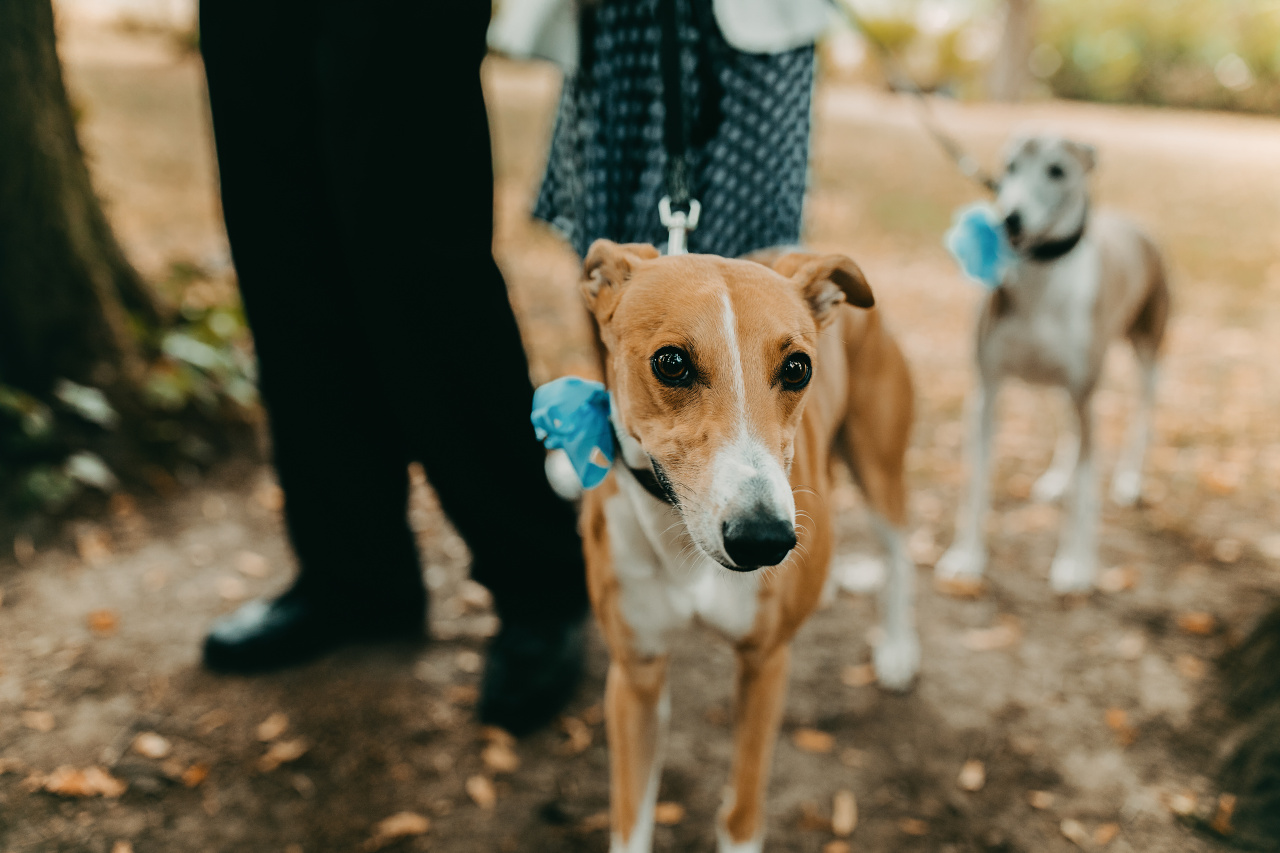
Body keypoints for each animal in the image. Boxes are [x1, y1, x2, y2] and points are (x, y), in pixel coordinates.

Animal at [581, 239, 921, 850]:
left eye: (797, 367)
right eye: (671, 362)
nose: (765, 540)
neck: (687, 553)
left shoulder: (766, 665)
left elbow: (741, 809)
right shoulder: (636, 674)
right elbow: (631, 818)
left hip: (879, 463)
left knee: (899, 554)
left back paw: (899, 649)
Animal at [931, 134, 1172, 591]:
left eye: (1057, 170)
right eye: (1010, 166)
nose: (1010, 219)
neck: (1042, 282)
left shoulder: (1087, 395)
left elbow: (1085, 493)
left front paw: (1076, 565)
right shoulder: (987, 392)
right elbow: (976, 484)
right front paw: (966, 556)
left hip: (1146, 356)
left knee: (1141, 417)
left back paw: (1128, 481)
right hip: (1061, 388)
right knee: (1069, 431)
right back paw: (1059, 478)